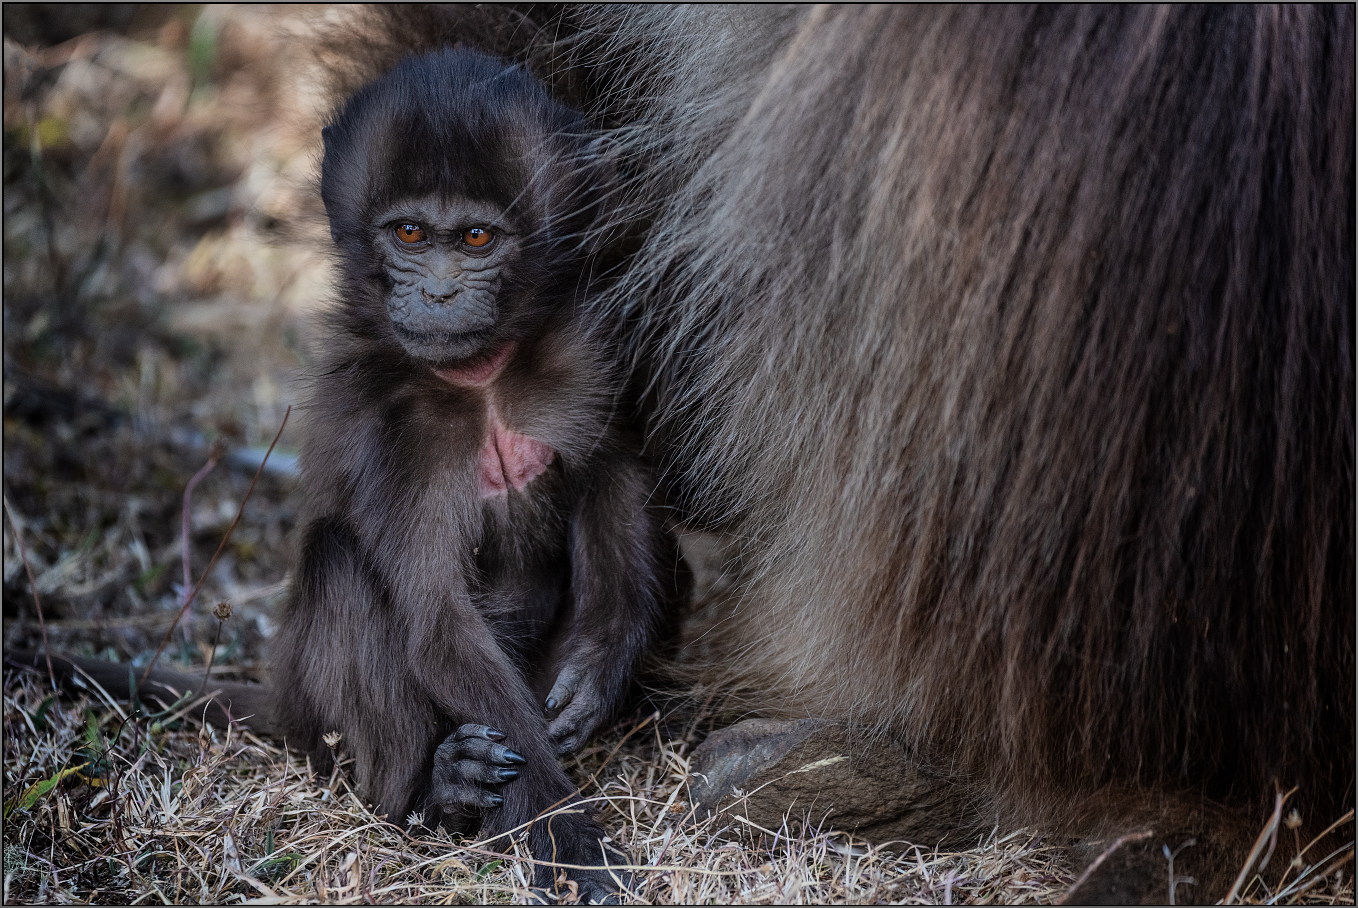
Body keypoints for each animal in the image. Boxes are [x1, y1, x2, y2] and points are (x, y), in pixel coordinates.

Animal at [275, 46, 679, 895]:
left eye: (474, 239)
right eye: (409, 232)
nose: (437, 293)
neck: (479, 382)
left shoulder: (582, 353)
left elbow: (613, 473)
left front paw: (598, 667)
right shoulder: (400, 434)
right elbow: (437, 623)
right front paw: (568, 838)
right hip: (311, 714)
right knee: (337, 564)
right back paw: (436, 794)